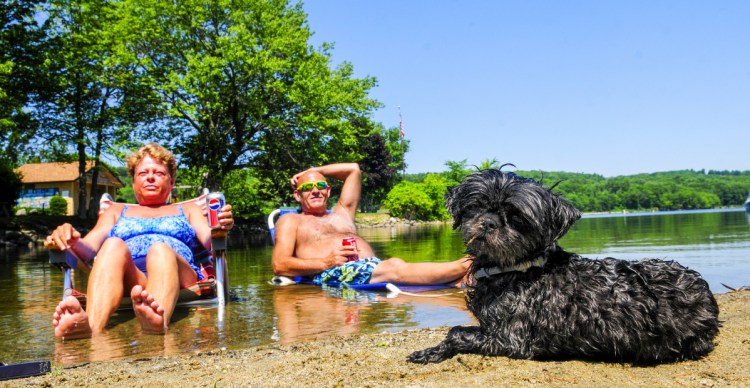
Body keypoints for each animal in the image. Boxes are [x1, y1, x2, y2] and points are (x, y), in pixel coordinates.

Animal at [412, 167, 724, 364]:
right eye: (476, 206)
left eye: (517, 217)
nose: (488, 223)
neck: (518, 269)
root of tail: (707, 296)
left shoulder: (512, 338)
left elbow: (456, 332)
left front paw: (432, 352)